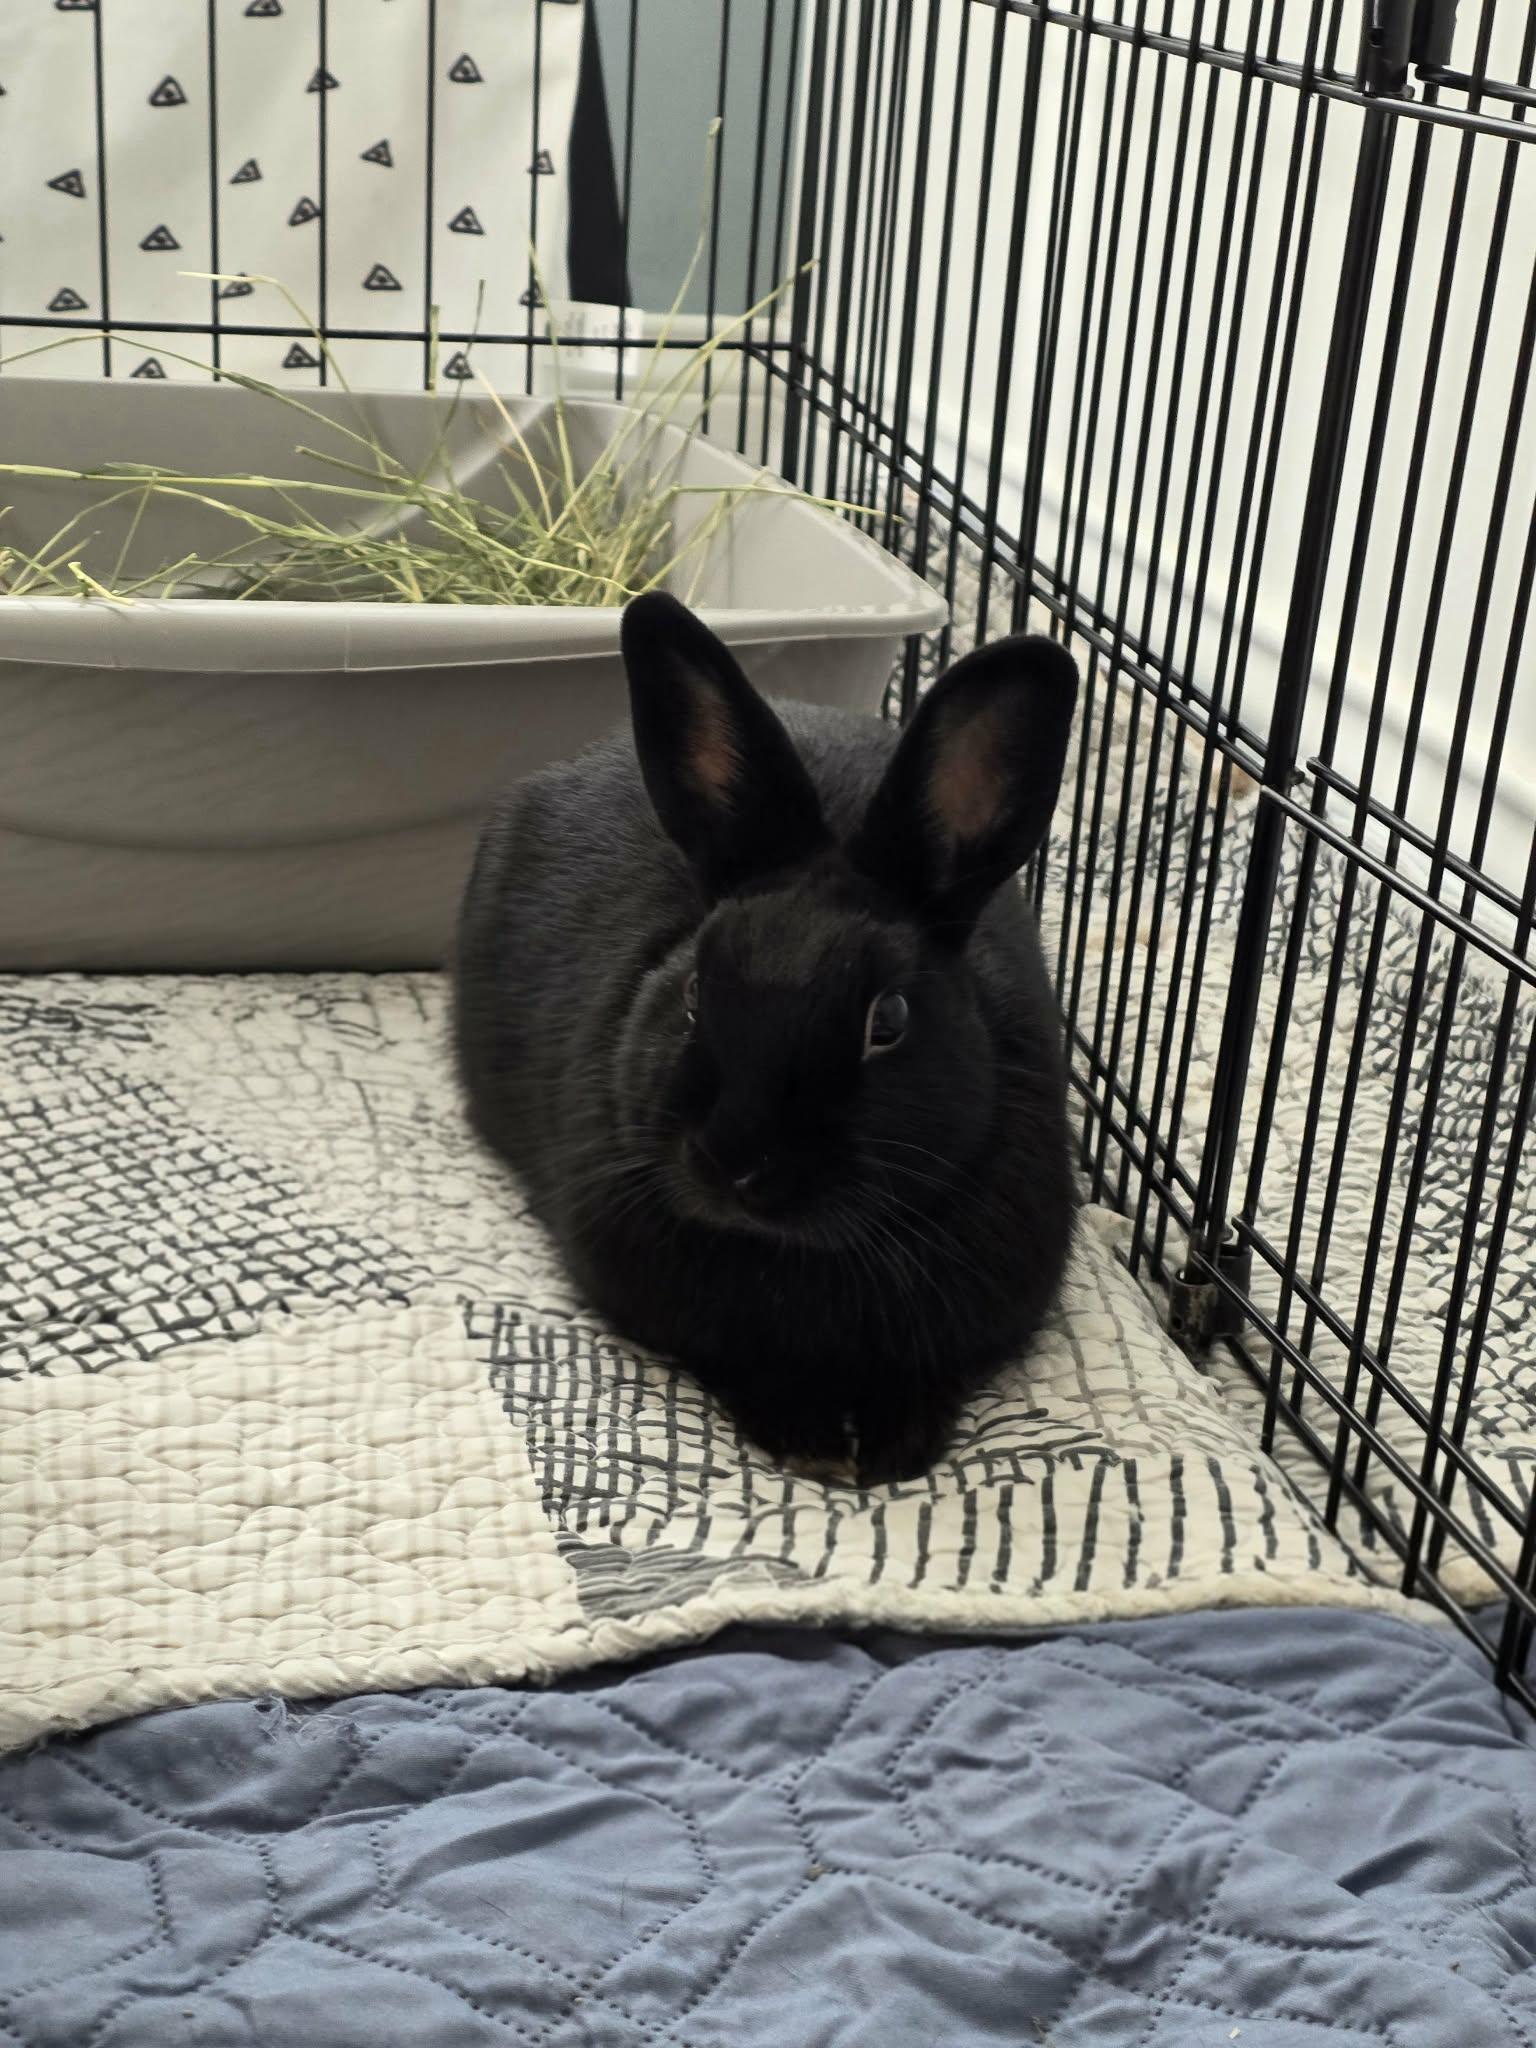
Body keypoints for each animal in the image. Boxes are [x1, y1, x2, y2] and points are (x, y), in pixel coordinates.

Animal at [452, 591, 1079, 1484]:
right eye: (691, 993)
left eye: (888, 1021)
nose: (733, 1162)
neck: (801, 1256)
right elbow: (745, 1370)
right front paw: (811, 1443)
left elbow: (929, 1383)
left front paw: (892, 1453)